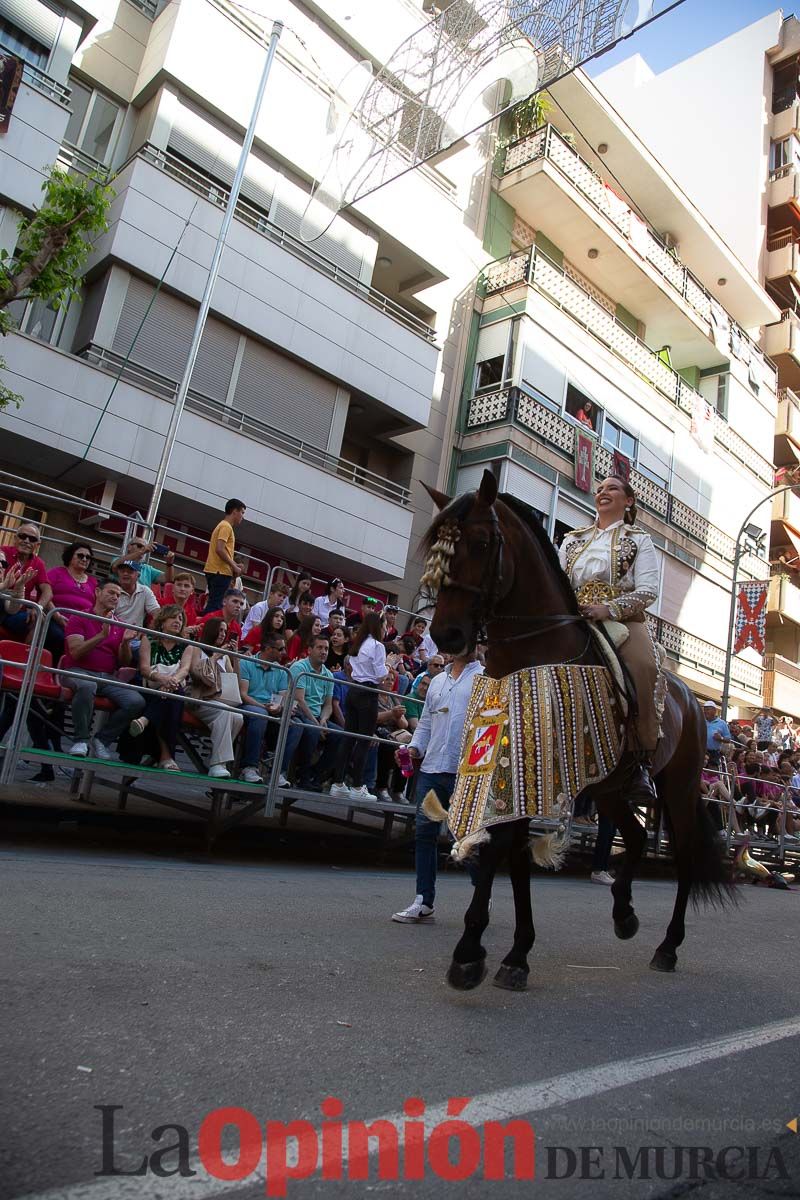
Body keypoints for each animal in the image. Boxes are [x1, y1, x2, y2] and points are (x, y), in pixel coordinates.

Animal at [424, 472, 734, 988]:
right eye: (437, 547)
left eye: (483, 541)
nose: (445, 635)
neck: (533, 653)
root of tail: (692, 700)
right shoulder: (517, 772)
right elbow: (513, 852)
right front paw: (515, 955)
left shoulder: (530, 768)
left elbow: (501, 848)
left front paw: (469, 953)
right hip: (609, 787)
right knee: (633, 836)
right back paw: (624, 914)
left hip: (679, 786)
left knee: (685, 854)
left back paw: (667, 947)